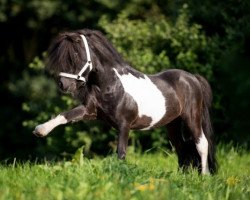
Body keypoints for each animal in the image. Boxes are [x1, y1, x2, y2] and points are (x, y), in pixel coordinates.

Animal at [33, 28, 217, 174]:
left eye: (76, 55)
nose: (63, 84)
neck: (111, 85)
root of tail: (192, 78)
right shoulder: (90, 111)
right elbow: (66, 115)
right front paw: (40, 130)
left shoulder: (124, 124)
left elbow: (121, 153)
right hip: (172, 124)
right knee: (182, 148)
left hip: (191, 118)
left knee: (202, 144)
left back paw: (204, 176)